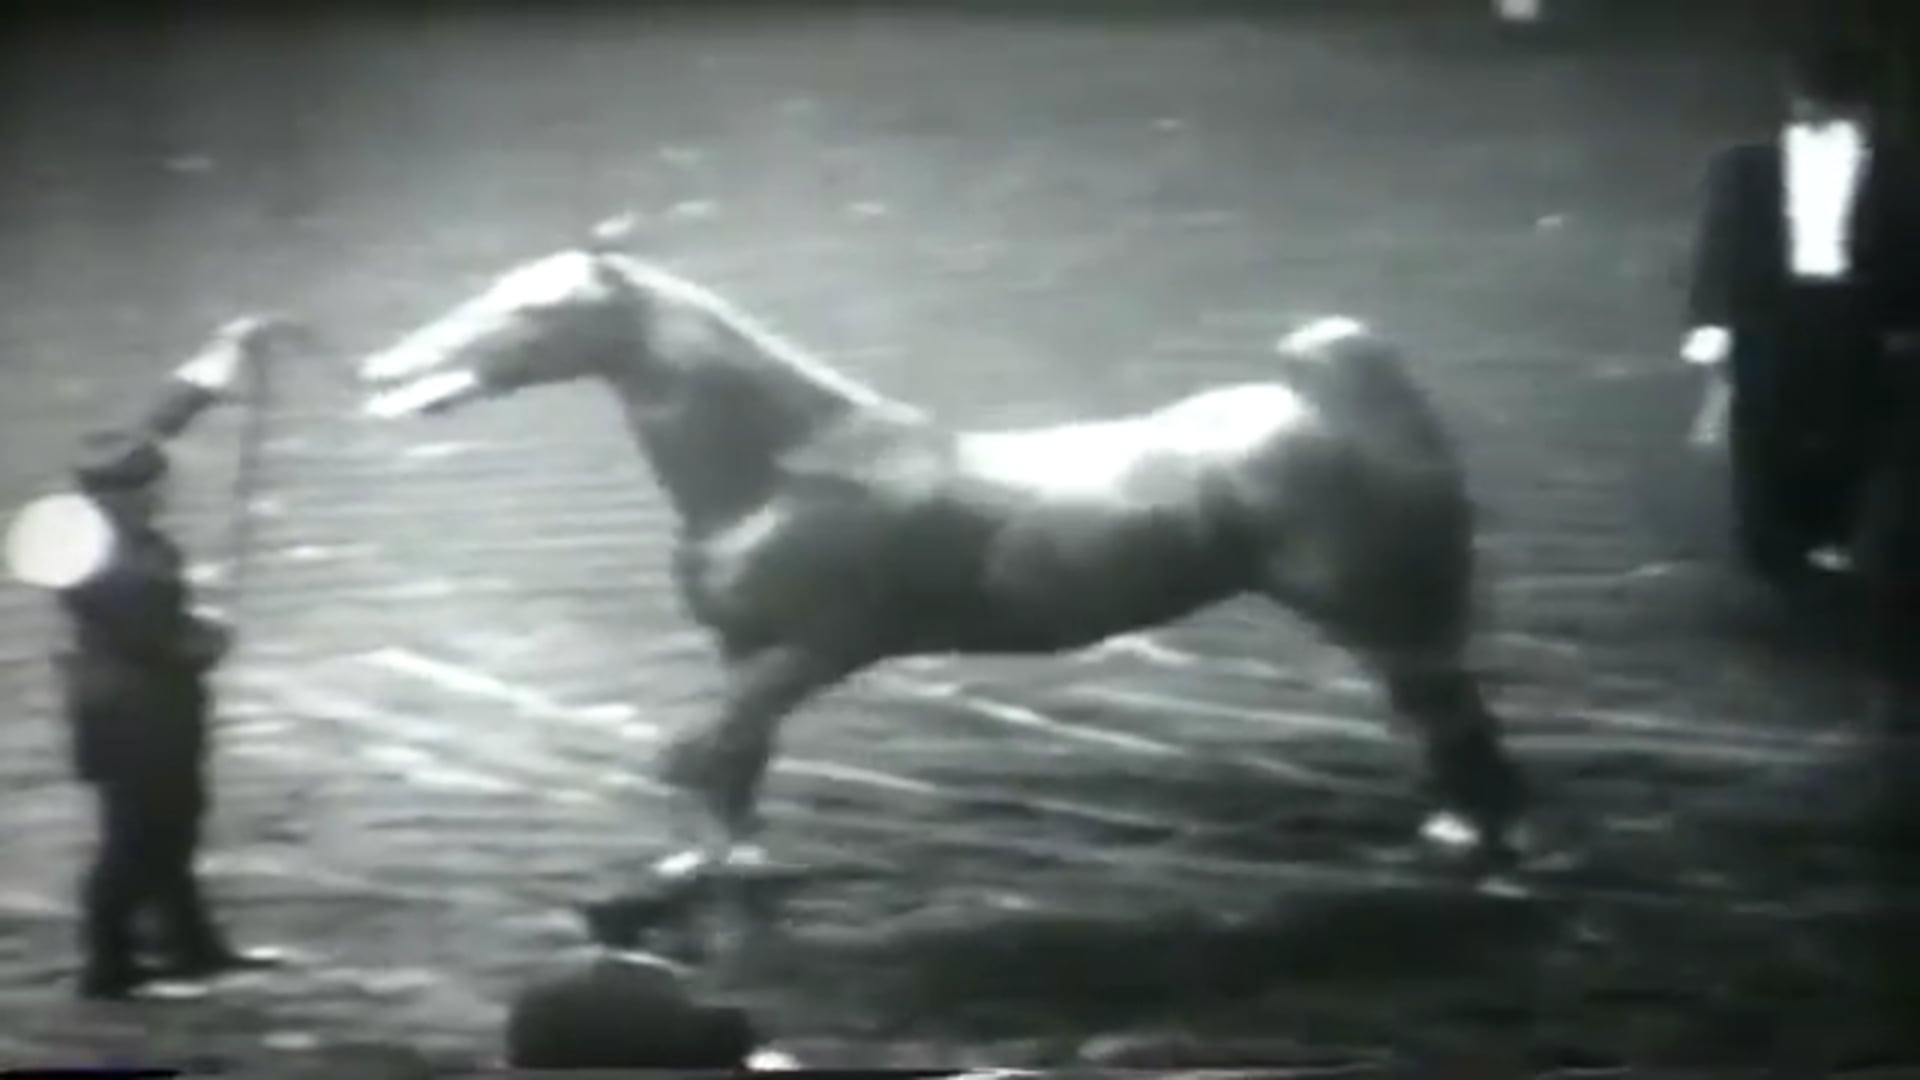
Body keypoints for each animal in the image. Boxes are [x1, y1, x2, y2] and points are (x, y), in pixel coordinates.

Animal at [355, 225, 1534, 928]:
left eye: (528, 311)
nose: (380, 366)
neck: (773, 466)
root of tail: (1350, 402)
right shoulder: (747, 654)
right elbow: (732, 769)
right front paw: (712, 867)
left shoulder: (812, 648)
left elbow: (702, 754)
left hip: (1394, 621)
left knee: (1460, 736)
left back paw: (1475, 845)